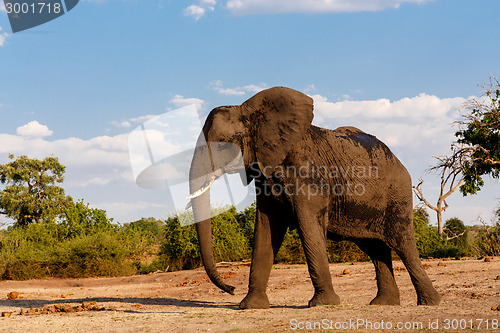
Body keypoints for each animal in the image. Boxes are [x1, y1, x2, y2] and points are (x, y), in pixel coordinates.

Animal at [188, 86, 442, 308]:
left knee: (403, 245)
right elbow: (266, 229)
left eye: (222, 146)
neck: (251, 111)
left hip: (398, 194)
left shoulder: (308, 174)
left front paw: (323, 303)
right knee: (376, 248)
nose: (231, 289)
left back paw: (430, 303)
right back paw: (383, 304)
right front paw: (250, 306)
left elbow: (308, 227)